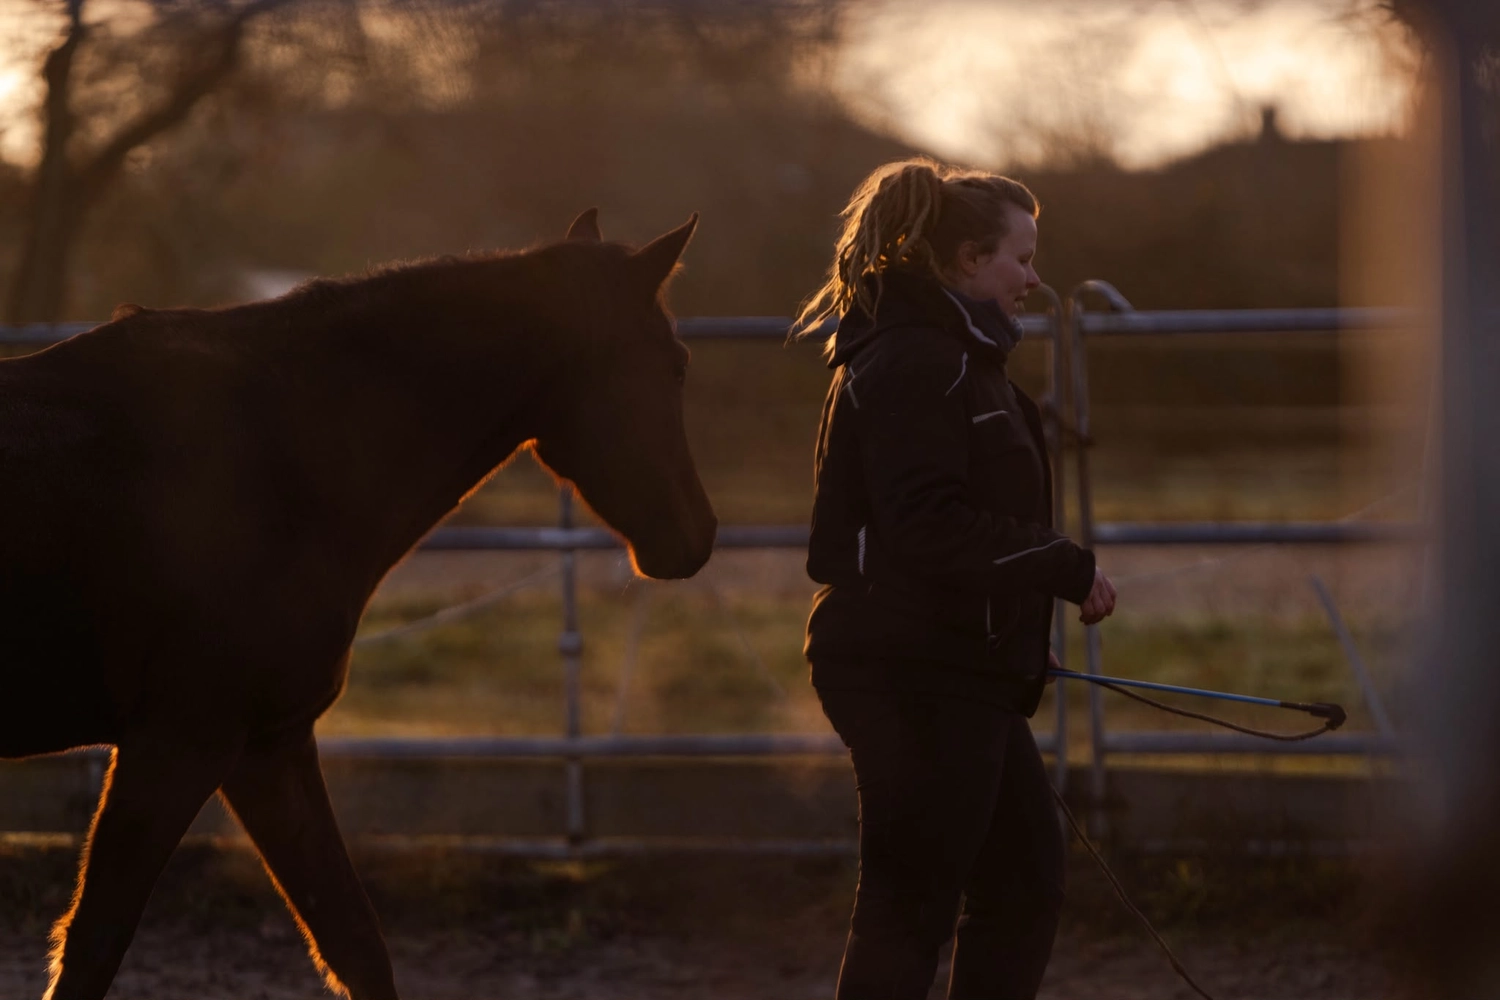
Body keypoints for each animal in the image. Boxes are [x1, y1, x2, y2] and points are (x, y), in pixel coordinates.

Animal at [0, 209, 716, 1000]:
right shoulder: (177, 743)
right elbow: (90, 947)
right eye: (676, 362)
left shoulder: (267, 746)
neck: (274, 455)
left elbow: (354, 941)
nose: (698, 536)